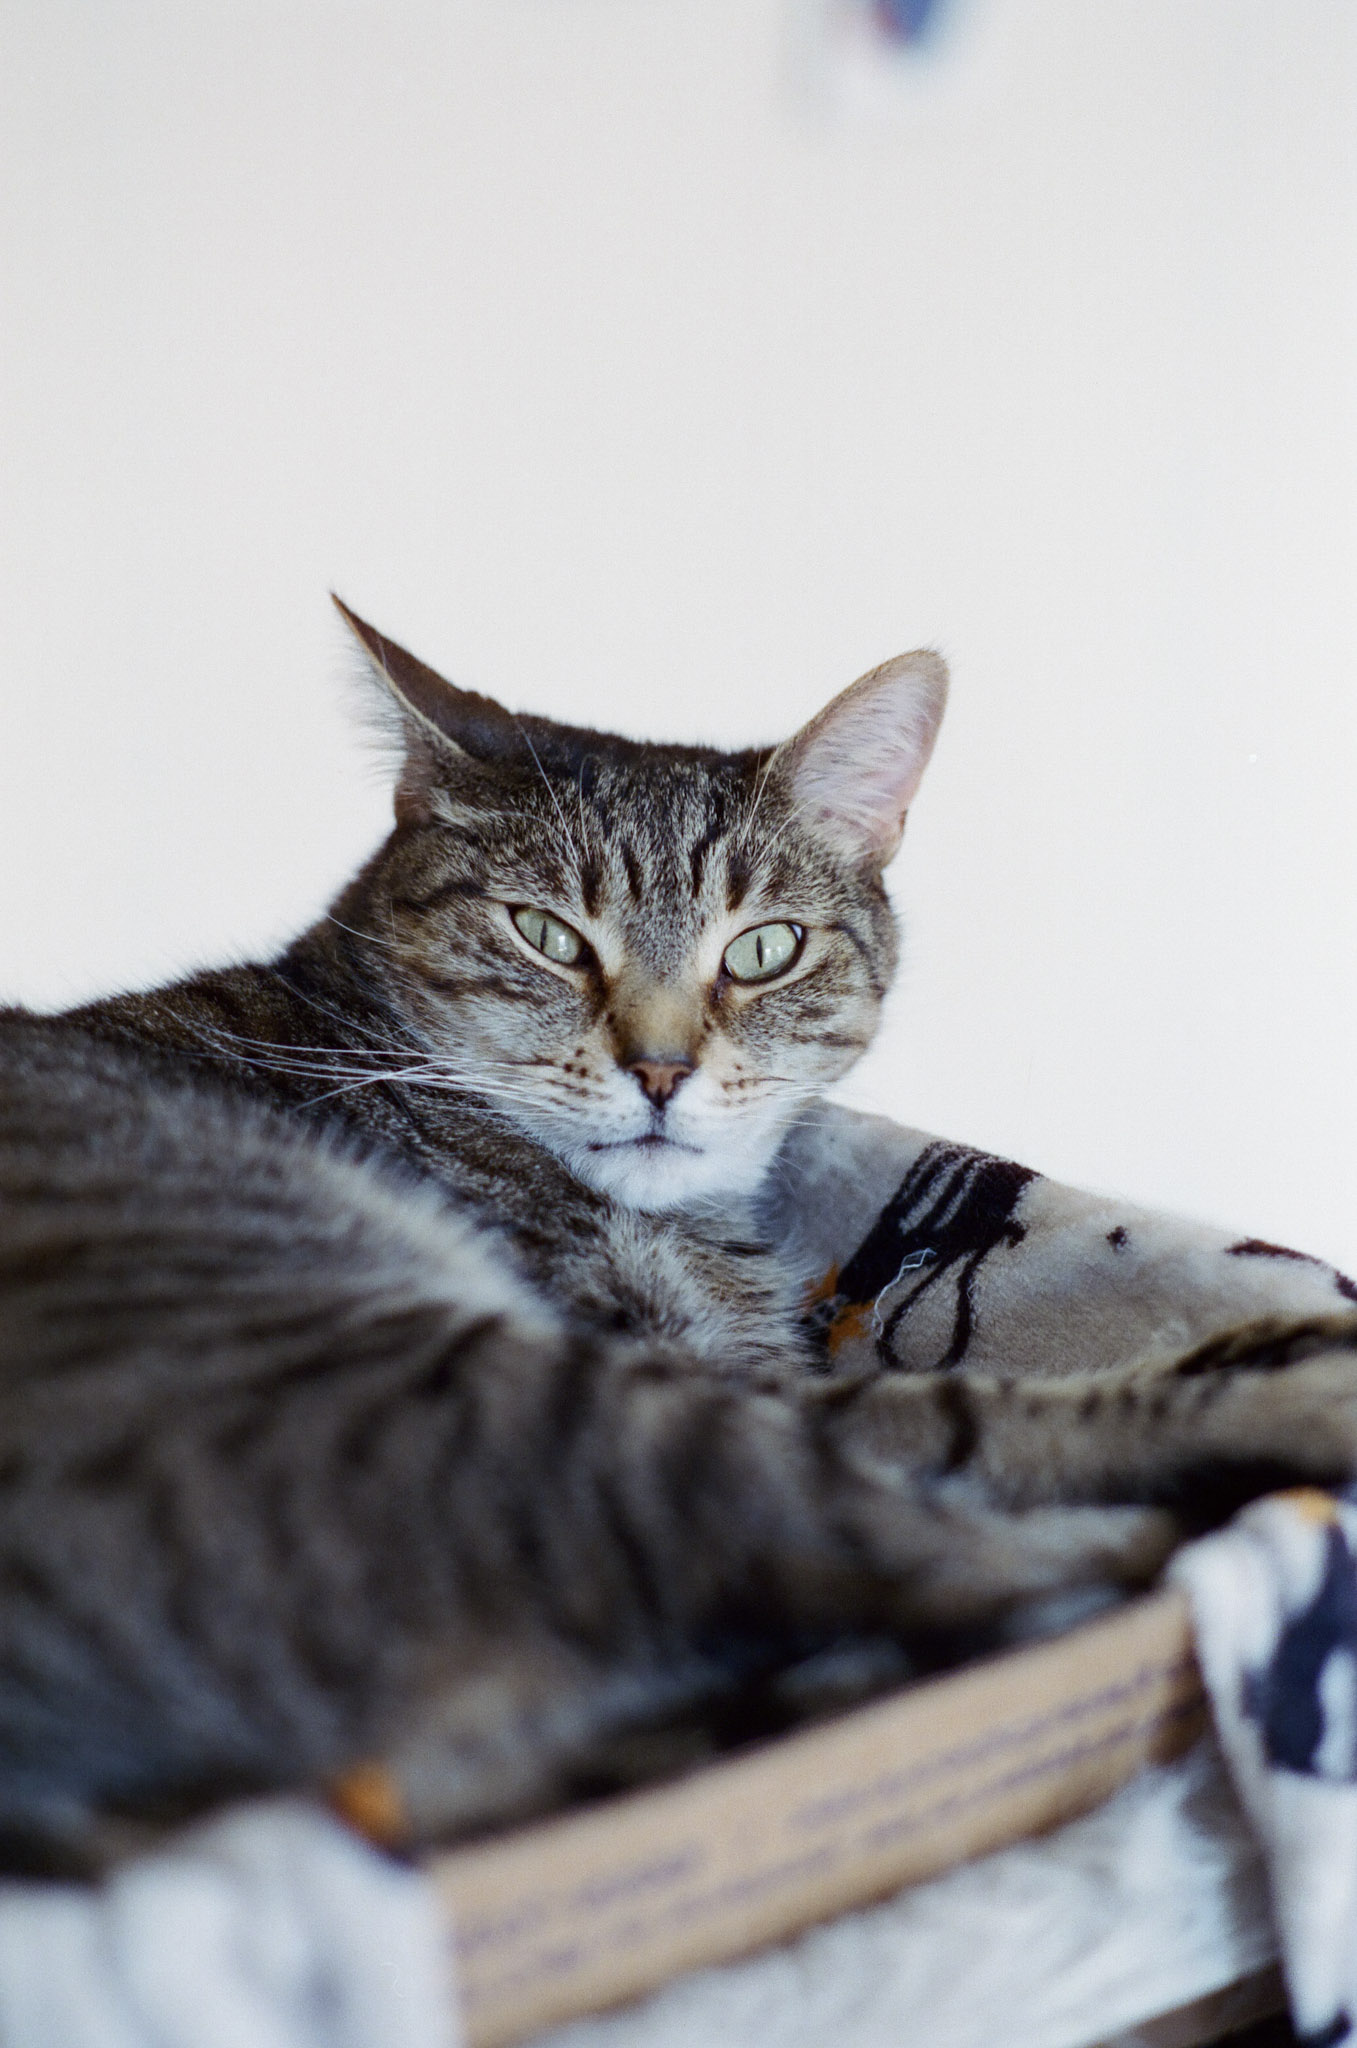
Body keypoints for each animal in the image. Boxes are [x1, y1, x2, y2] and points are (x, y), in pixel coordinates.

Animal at [7, 598, 1357, 1867]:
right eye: (547, 933)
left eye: (763, 949)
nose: (659, 1069)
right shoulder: (706, 1371)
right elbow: (988, 1412)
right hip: (497, 1399)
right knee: (1004, 1552)